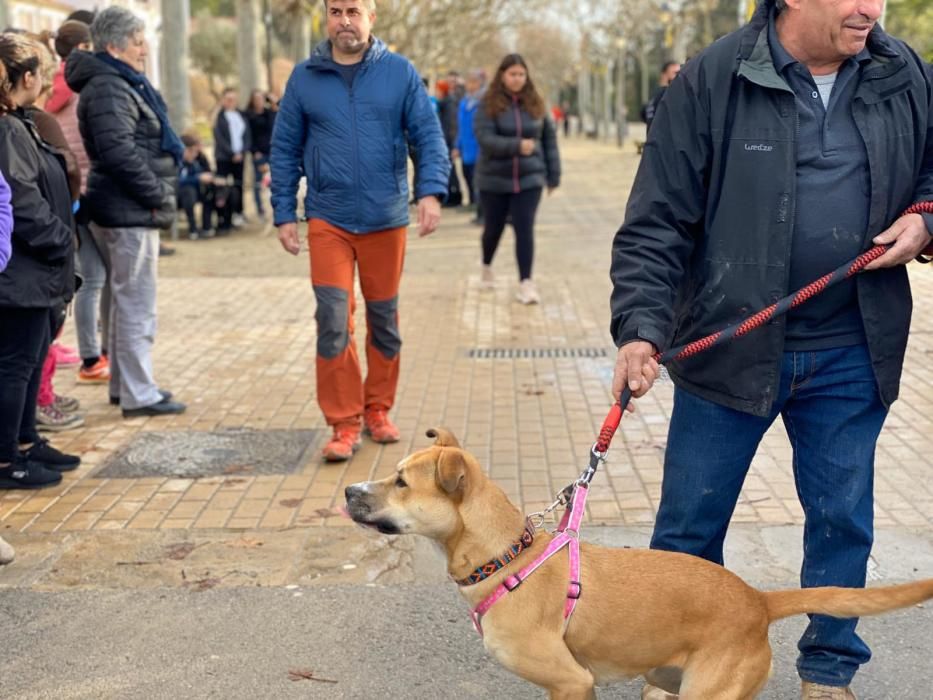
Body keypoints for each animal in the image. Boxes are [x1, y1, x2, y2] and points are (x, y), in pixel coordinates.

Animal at [344, 430, 932, 696]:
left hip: (709, 693)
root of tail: (757, 599)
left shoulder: (573, 681)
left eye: (401, 482)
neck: (508, 559)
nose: (349, 490)